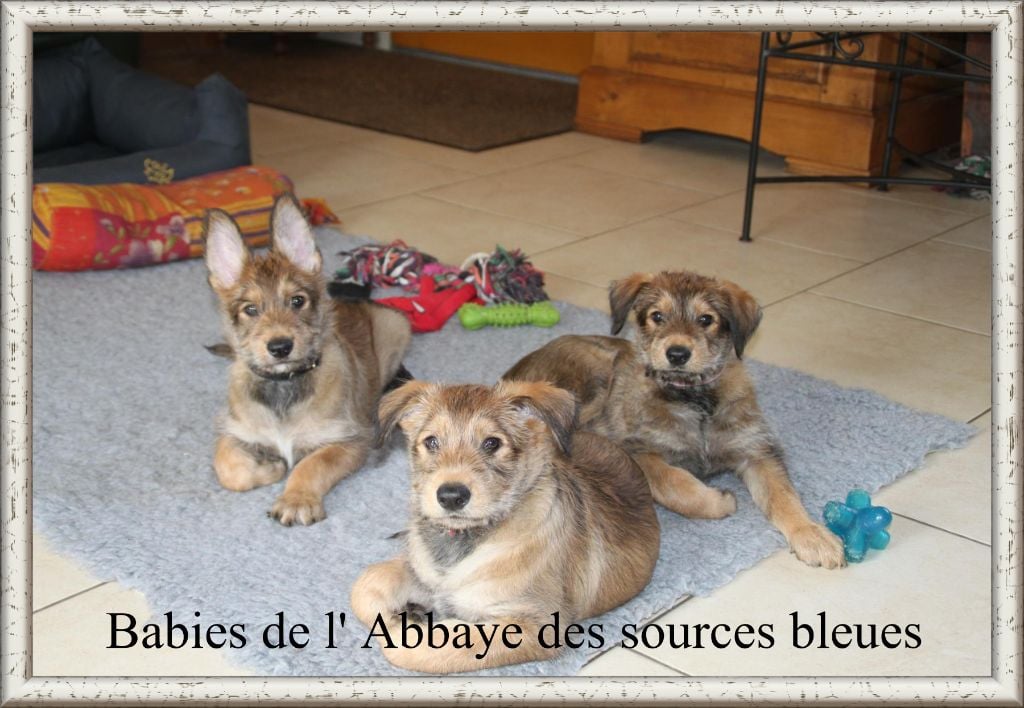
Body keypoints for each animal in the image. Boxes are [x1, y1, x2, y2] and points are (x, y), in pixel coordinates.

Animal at [203, 193, 411, 524]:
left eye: (297, 301)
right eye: (251, 309)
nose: (280, 347)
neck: (284, 387)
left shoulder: (349, 440)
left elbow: (311, 465)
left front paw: (296, 499)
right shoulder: (233, 431)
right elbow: (228, 469)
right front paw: (271, 467)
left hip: (396, 326)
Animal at [348, 379, 659, 672]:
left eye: (492, 443)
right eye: (432, 442)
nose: (451, 496)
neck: (465, 539)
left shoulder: (535, 625)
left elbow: (419, 649)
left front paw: (410, 624)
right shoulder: (420, 569)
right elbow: (365, 584)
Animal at [505, 270, 847, 569]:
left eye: (706, 319)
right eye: (657, 316)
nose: (678, 354)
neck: (694, 399)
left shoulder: (756, 450)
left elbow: (784, 495)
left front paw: (812, 535)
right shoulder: (637, 448)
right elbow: (673, 483)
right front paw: (718, 501)